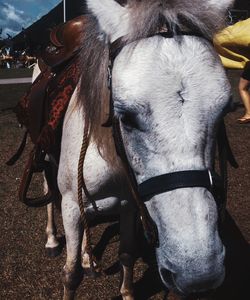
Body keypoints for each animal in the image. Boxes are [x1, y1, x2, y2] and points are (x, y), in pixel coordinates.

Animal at [40, 0, 234, 298]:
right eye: (126, 117)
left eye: (225, 109)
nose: (199, 274)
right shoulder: (71, 204)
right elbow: (70, 275)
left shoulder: (130, 205)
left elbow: (126, 256)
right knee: (48, 193)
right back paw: (52, 239)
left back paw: (86, 257)